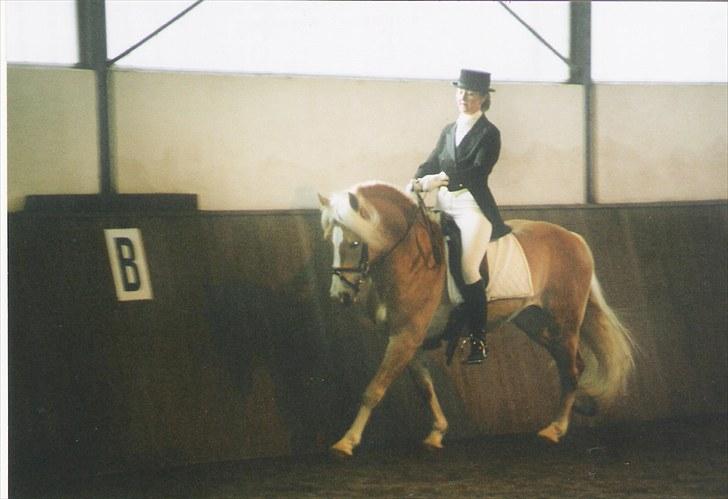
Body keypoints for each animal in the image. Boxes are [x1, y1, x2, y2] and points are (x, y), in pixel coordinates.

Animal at [318, 183, 632, 458]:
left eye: (354, 243)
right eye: (330, 242)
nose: (339, 295)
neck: (408, 259)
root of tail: (573, 237)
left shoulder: (405, 337)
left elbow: (373, 390)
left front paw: (346, 442)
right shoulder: (410, 342)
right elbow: (425, 389)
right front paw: (437, 434)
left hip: (563, 322)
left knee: (571, 370)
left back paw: (554, 430)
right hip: (537, 324)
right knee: (574, 365)